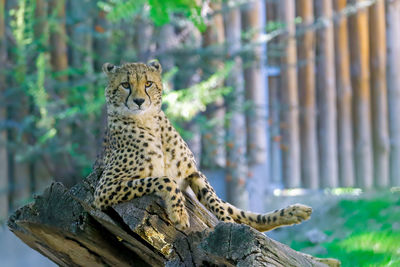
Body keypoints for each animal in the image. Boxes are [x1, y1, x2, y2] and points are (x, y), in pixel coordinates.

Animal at [94, 60, 312, 232]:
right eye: (125, 84)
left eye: (148, 84)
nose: (139, 101)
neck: (148, 121)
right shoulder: (103, 190)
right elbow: (164, 180)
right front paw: (180, 214)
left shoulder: (194, 173)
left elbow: (215, 202)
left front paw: (228, 224)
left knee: (243, 215)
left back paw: (294, 212)